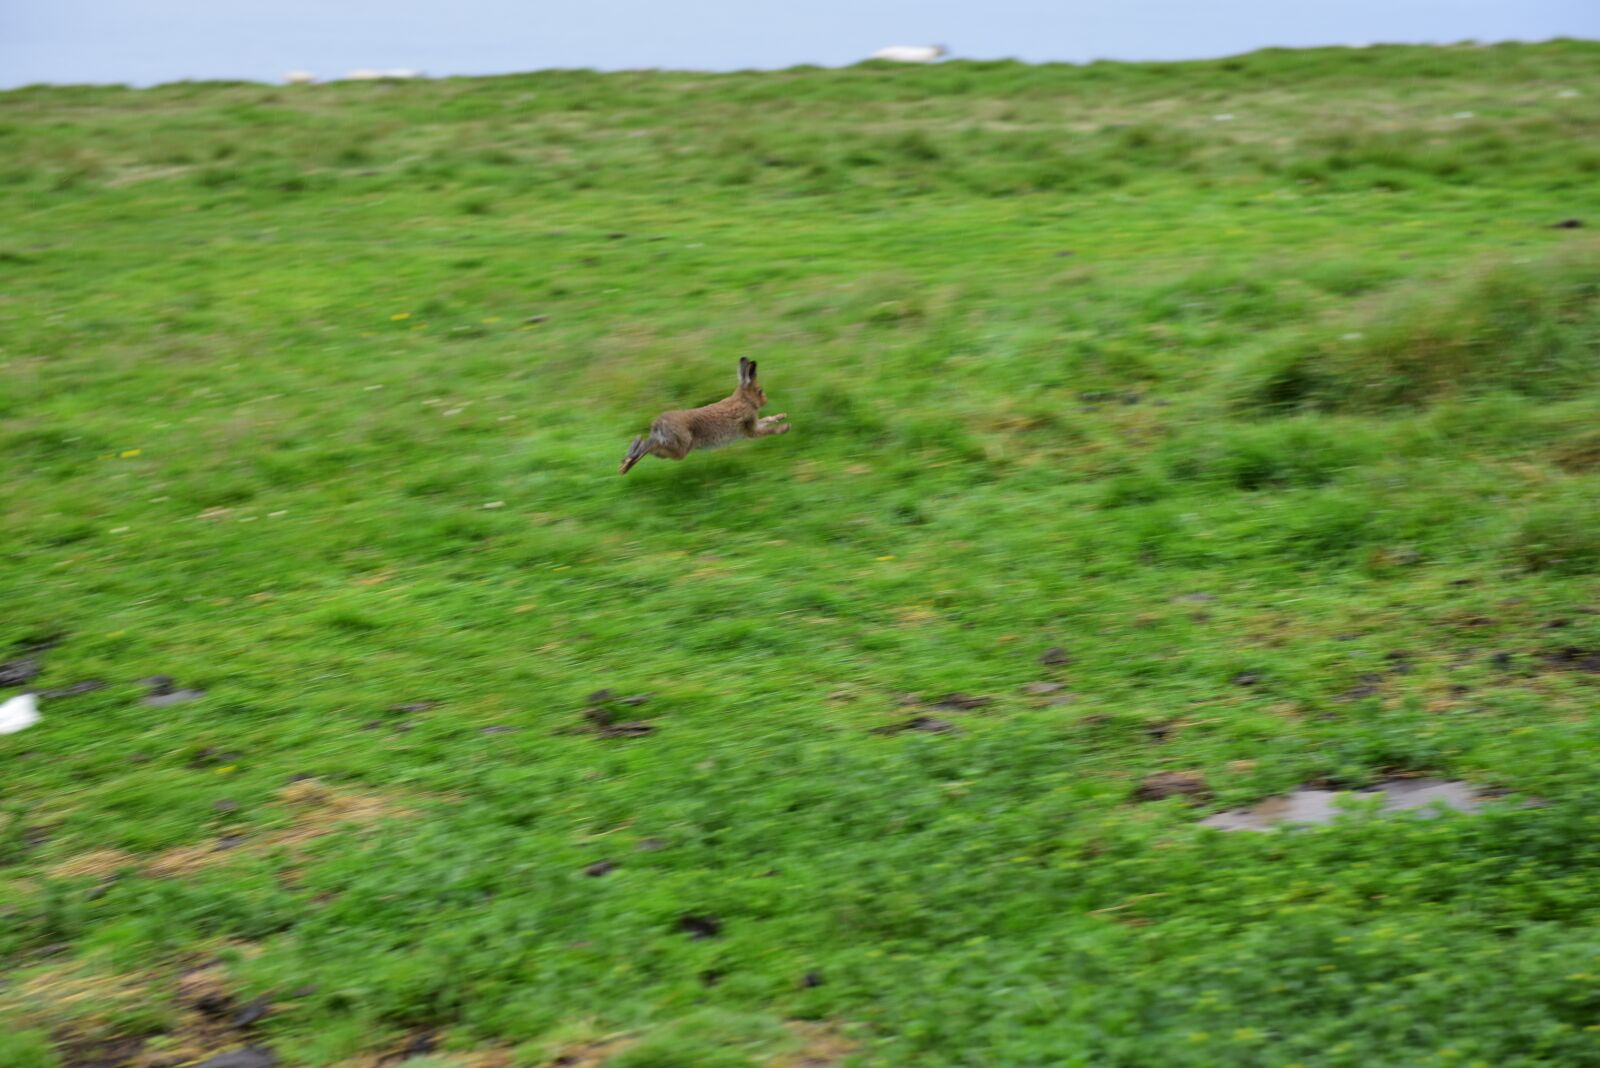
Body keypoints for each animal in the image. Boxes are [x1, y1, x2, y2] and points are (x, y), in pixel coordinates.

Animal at [620, 357, 789, 474]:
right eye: (760, 391)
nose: (765, 401)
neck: (745, 400)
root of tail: (658, 424)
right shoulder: (750, 429)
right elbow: (767, 431)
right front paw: (785, 428)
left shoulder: (754, 423)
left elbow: (766, 420)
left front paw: (782, 416)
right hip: (681, 447)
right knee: (652, 447)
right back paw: (627, 463)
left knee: (648, 448)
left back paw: (625, 464)